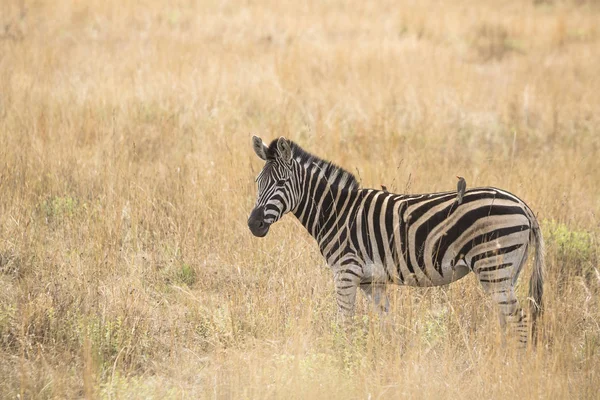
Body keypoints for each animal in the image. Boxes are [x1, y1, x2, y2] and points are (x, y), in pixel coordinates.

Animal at [247, 137, 544, 344]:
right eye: (257, 181)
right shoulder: (371, 281)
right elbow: (386, 322)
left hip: (494, 266)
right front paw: (388, 356)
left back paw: (513, 363)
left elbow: (345, 323)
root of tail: (524, 206)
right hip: (507, 272)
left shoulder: (345, 272)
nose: (253, 224)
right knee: (507, 318)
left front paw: (342, 360)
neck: (336, 212)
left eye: (281, 183)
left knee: (518, 319)